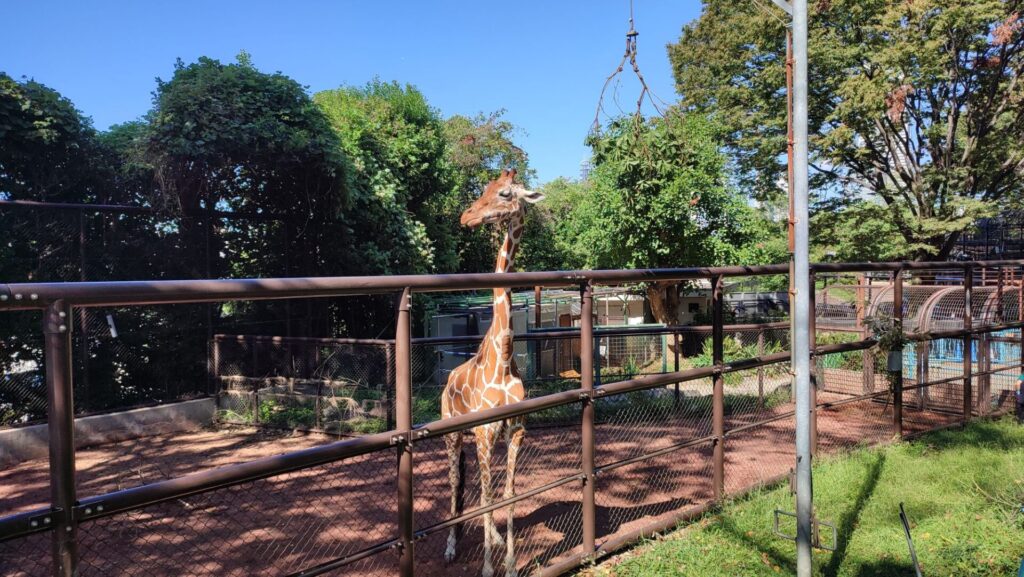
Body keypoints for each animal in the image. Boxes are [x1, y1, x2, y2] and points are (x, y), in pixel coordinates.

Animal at [444, 167, 548, 577]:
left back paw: (497, 540)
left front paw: (511, 565)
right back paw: (450, 548)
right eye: (484, 188)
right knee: (455, 484)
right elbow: (488, 497)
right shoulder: (484, 433)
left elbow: (507, 495)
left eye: (504, 193)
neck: (502, 358)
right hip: (453, 435)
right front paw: (489, 568)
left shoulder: (514, 432)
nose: (466, 216)